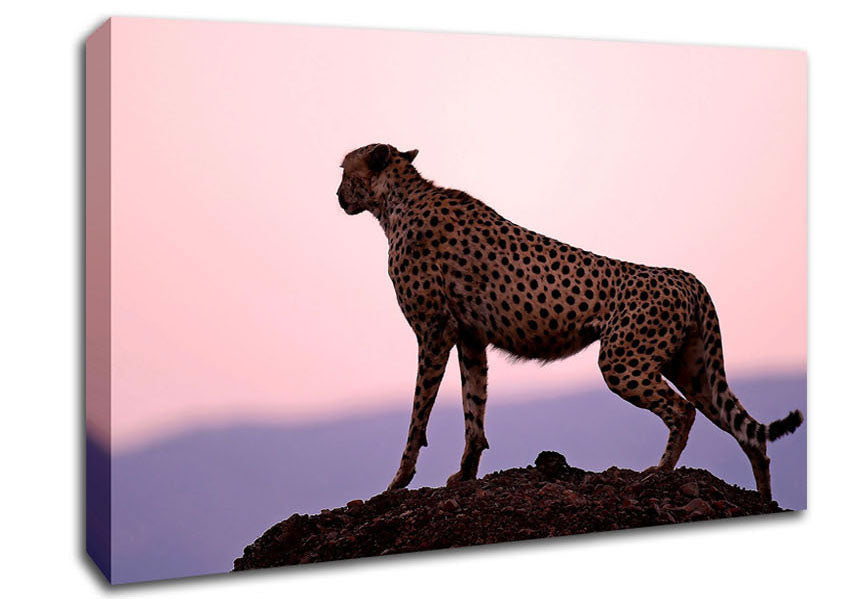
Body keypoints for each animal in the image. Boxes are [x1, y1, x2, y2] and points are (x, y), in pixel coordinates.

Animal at [336, 142, 804, 501]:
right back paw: (763, 500)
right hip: (691, 368)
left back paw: (660, 473)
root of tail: (685, 276)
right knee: (747, 432)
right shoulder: (470, 337)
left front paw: (397, 483)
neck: (396, 201)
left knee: (683, 411)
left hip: (623, 362)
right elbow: (474, 410)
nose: (338, 196)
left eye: (343, 170)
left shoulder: (434, 333)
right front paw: (466, 474)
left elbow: (419, 415)